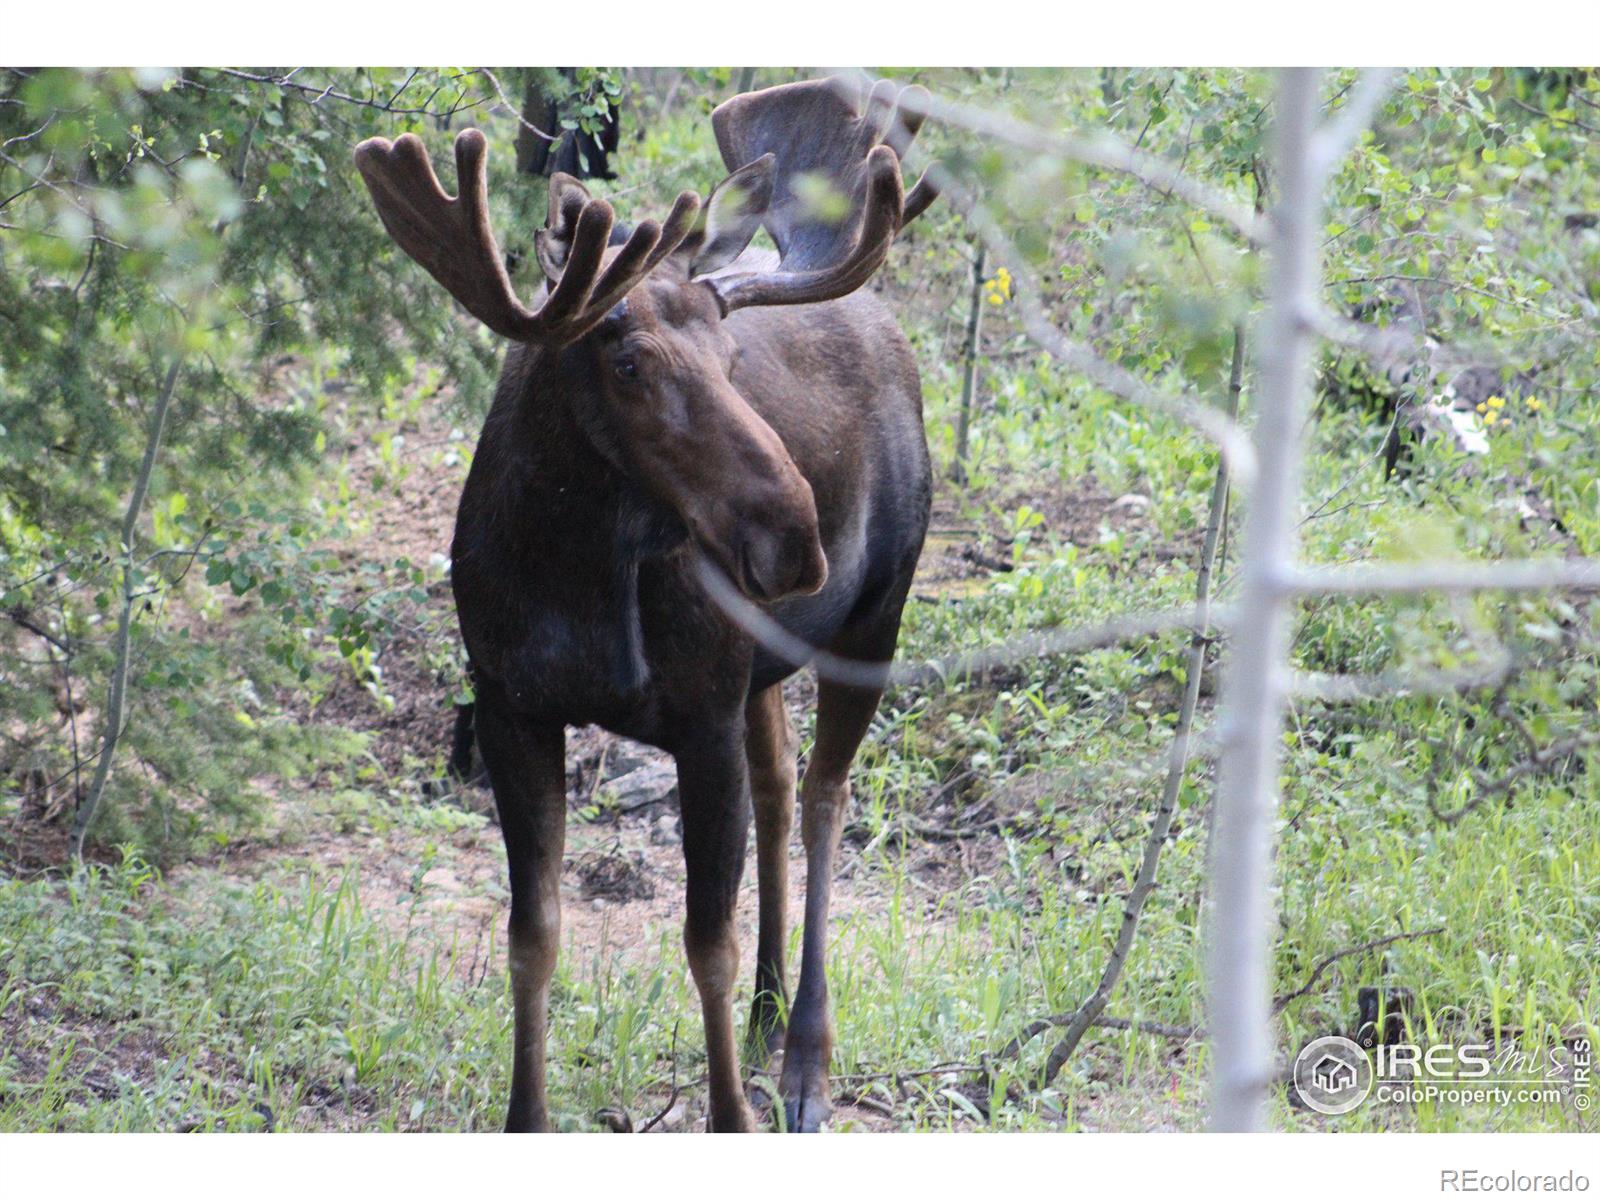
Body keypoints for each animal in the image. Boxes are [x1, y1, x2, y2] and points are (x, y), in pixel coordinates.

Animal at [353, 80, 934, 1132]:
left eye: (733, 359)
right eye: (627, 366)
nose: (796, 539)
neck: (570, 575)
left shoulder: (698, 719)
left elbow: (706, 943)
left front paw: (729, 1115)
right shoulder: (509, 705)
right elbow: (533, 935)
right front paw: (526, 1118)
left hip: (877, 618)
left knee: (827, 795)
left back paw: (804, 1061)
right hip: (764, 664)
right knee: (780, 781)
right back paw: (770, 1013)